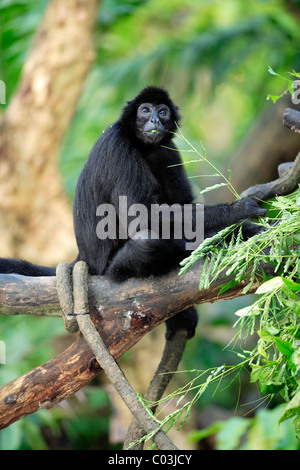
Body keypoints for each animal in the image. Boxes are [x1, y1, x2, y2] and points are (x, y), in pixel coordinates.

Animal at [0, 86, 264, 340]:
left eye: (163, 111)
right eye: (145, 110)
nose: (155, 120)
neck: (141, 145)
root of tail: (84, 258)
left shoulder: (167, 150)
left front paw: (242, 227)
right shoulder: (118, 146)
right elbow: (142, 217)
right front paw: (239, 210)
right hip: (110, 268)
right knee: (148, 241)